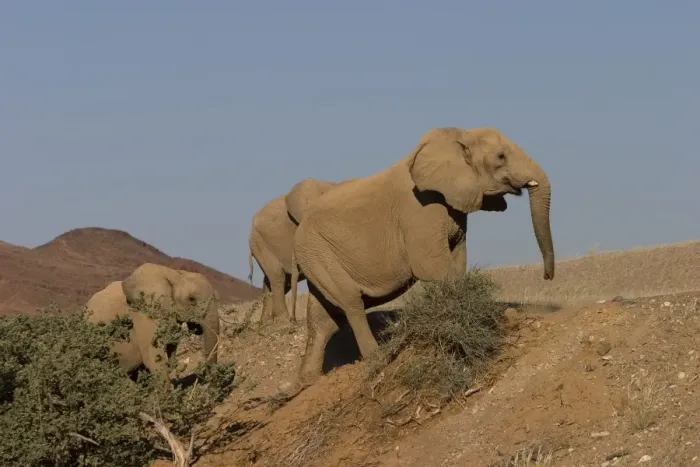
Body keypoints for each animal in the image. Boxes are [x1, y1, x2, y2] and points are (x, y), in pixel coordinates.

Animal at [247, 177, 355, 324]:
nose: (294, 318)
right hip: (260, 242)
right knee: (278, 277)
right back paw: (283, 321)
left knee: (274, 280)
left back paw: (266, 322)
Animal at [287, 126, 554, 388]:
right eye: (501, 156)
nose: (547, 276)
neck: (458, 137)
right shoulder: (420, 210)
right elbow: (432, 267)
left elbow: (457, 261)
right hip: (318, 252)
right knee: (351, 303)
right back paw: (377, 357)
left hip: (316, 256)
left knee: (323, 318)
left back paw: (310, 380)